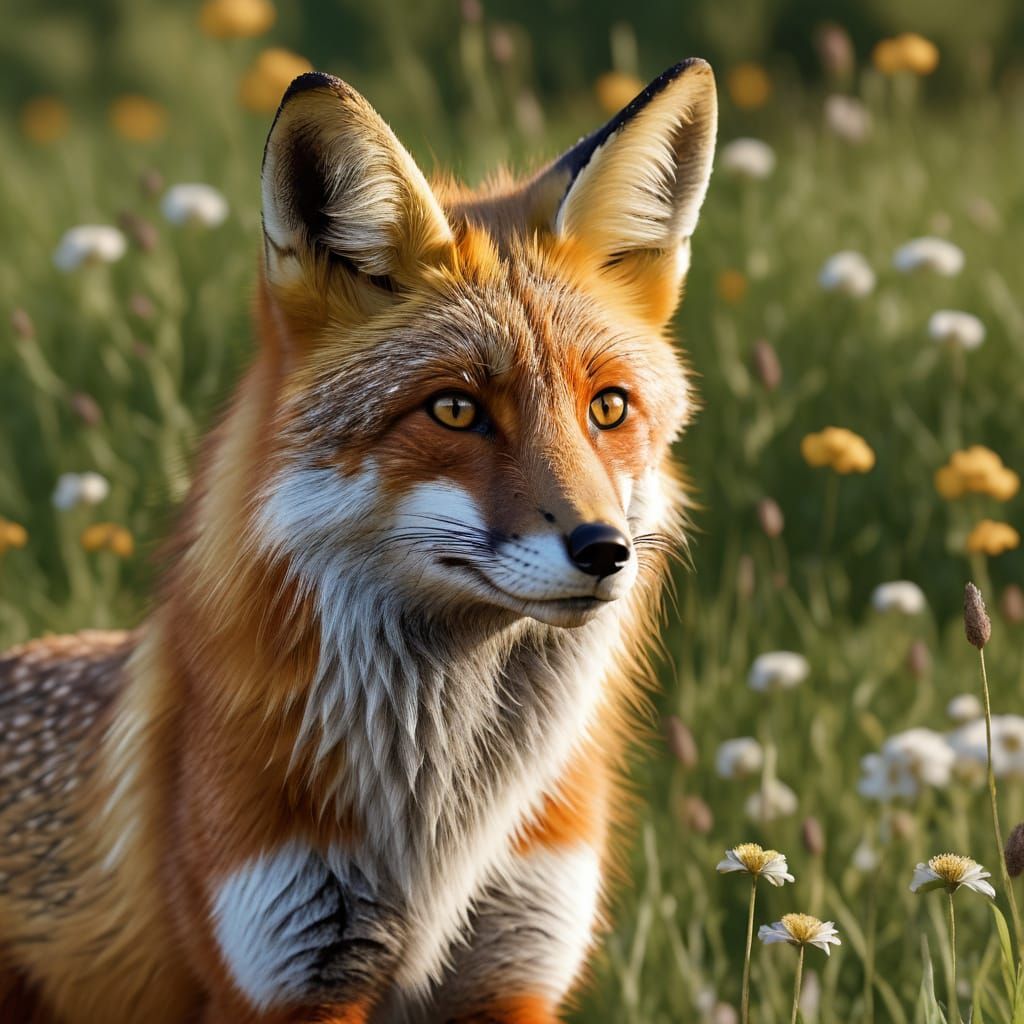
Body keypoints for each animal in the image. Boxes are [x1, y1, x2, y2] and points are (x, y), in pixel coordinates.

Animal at [0, 59, 716, 1023]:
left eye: (608, 407)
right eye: (454, 409)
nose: (606, 551)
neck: (441, 837)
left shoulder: (515, 966)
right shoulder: (290, 972)